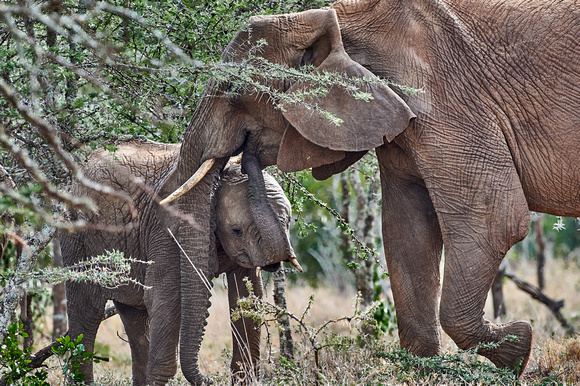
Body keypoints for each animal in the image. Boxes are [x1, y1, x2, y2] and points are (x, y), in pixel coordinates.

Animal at [61, 140, 296, 384]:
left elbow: (246, 298)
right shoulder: (167, 232)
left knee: (135, 317)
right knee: (87, 311)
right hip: (77, 234)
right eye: (236, 230)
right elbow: (165, 295)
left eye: (290, 221)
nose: (209, 380)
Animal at [160, 0, 580, 376]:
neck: (342, 24)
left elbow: (494, 220)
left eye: (234, 88)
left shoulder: (448, 100)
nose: (245, 158)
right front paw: (424, 371)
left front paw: (518, 351)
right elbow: (406, 229)